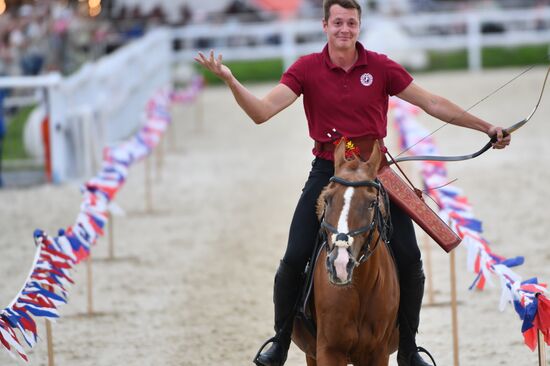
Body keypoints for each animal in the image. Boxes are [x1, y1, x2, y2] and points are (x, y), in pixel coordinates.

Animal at [294, 141, 402, 366]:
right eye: (326, 200)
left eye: (371, 203)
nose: (340, 265)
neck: (361, 287)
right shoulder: (329, 350)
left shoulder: (378, 353)